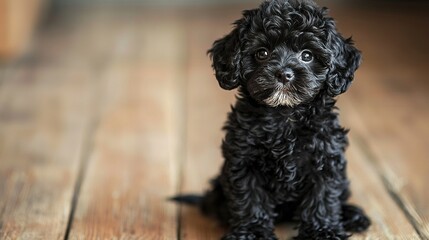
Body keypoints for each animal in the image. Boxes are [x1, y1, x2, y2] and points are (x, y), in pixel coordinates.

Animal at [172, 0, 370, 240]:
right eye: (262, 53)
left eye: (307, 55)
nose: (284, 74)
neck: (284, 114)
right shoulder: (244, 160)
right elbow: (249, 198)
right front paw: (252, 232)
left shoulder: (324, 158)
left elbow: (322, 197)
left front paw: (322, 232)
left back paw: (352, 215)